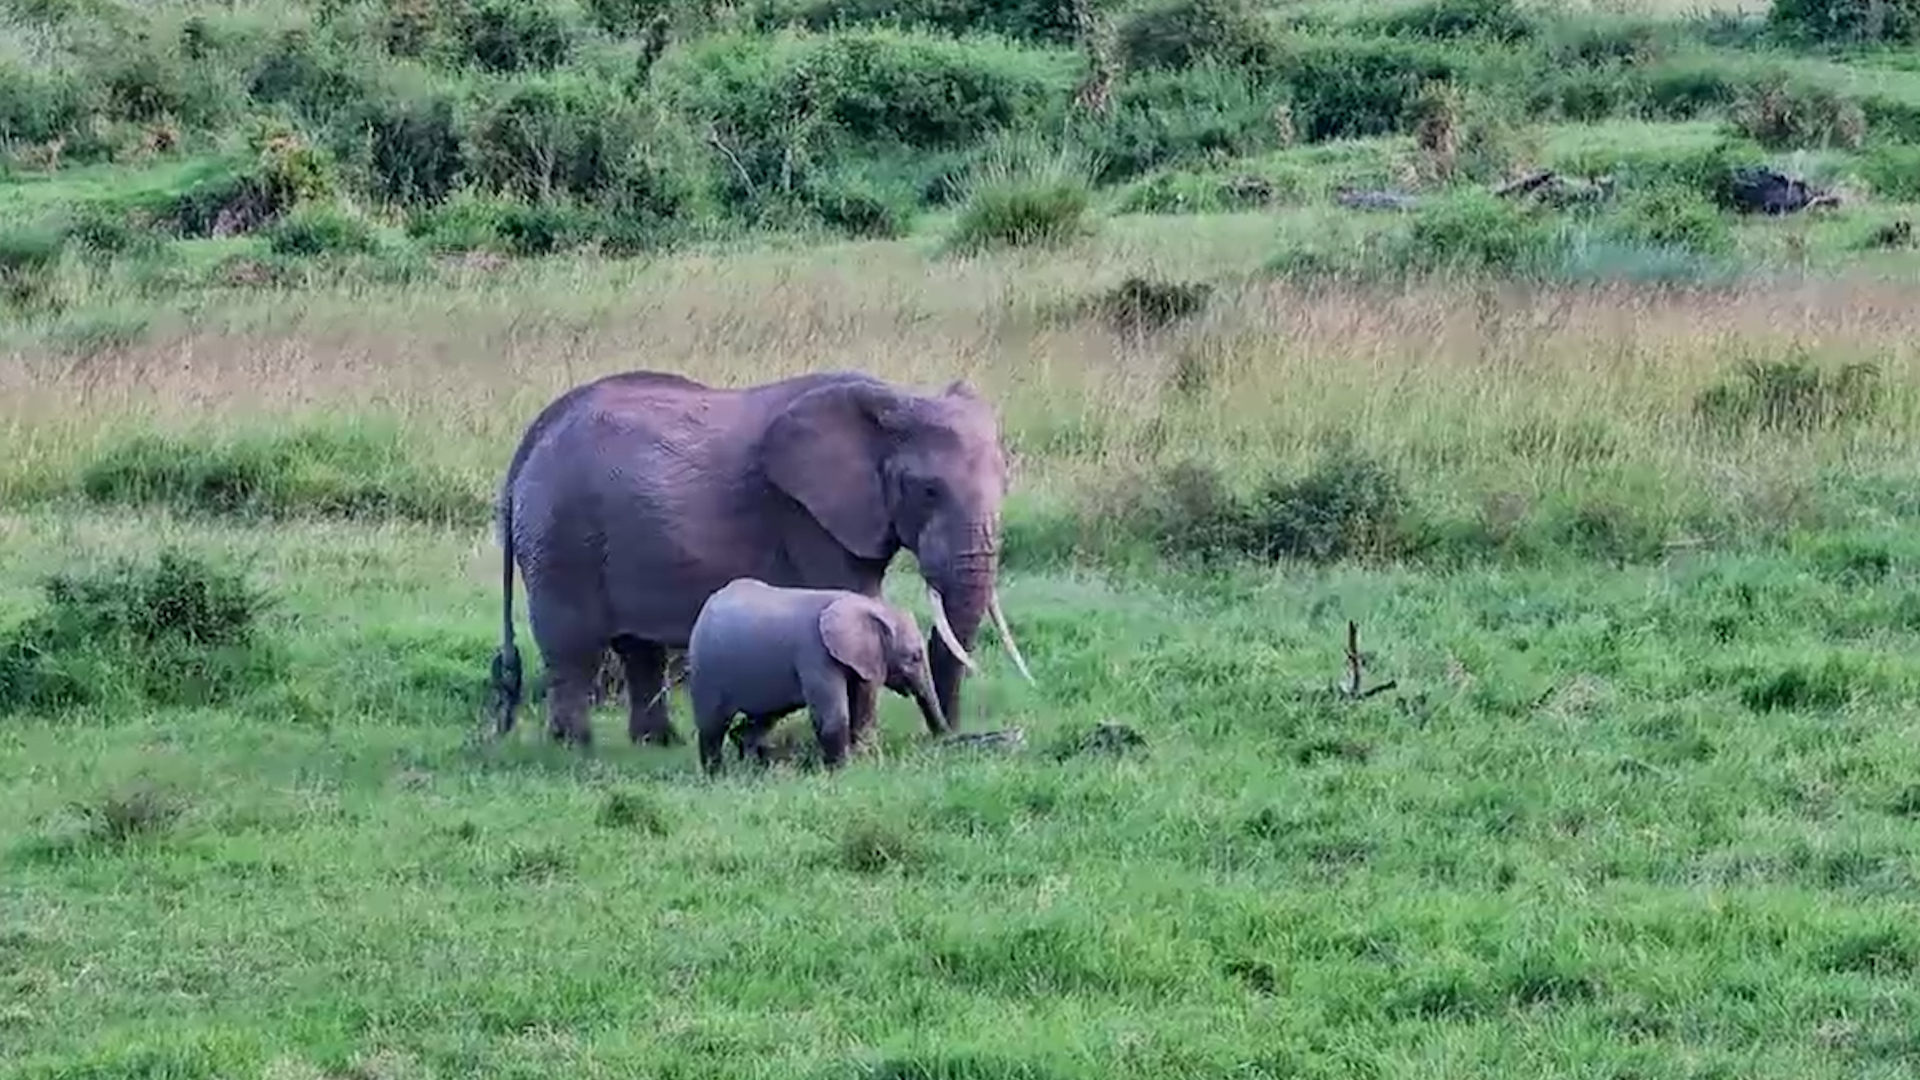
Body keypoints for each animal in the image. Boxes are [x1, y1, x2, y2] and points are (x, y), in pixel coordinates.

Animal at [487, 368, 1033, 748]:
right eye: (928, 491)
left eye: (1006, 485)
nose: (951, 734)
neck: (891, 401)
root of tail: (531, 439)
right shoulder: (807, 516)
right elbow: (852, 598)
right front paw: (865, 742)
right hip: (560, 534)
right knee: (573, 647)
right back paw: (574, 747)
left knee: (639, 651)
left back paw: (658, 744)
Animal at [685, 577, 946, 775]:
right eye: (914, 657)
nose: (944, 740)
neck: (866, 606)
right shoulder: (816, 653)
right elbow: (835, 715)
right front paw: (844, 772)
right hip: (705, 669)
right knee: (712, 726)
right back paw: (716, 776)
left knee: (761, 720)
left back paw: (754, 767)